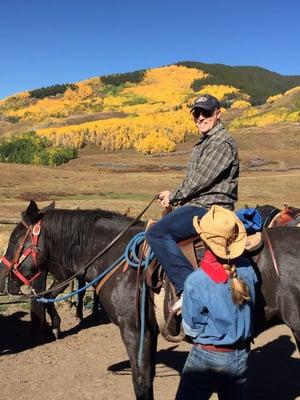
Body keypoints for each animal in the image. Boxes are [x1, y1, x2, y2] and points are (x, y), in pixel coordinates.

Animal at [0, 202, 300, 398]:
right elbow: (150, 376)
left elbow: (141, 381)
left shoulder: (134, 331)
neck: (115, 258)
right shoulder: (150, 331)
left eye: (15, 239)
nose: (4, 276)